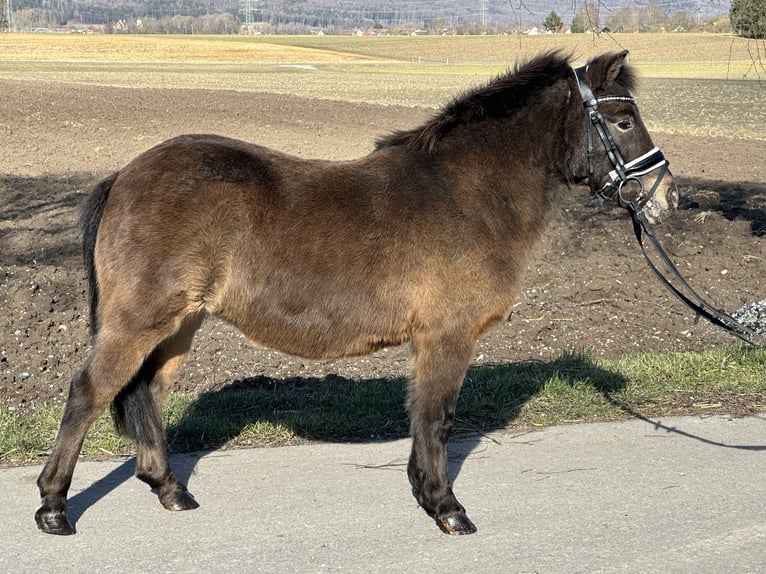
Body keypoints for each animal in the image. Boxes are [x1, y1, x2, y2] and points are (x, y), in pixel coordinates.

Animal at [36, 50, 680, 540]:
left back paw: (170, 490)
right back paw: (54, 508)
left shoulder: (429, 342)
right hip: (139, 320)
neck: (465, 194)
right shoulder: (448, 337)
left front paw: (426, 492)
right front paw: (447, 508)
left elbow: (422, 416)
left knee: (146, 394)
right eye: (623, 120)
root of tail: (124, 175)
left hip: (179, 326)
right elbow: (439, 418)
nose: (666, 197)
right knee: (88, 393)